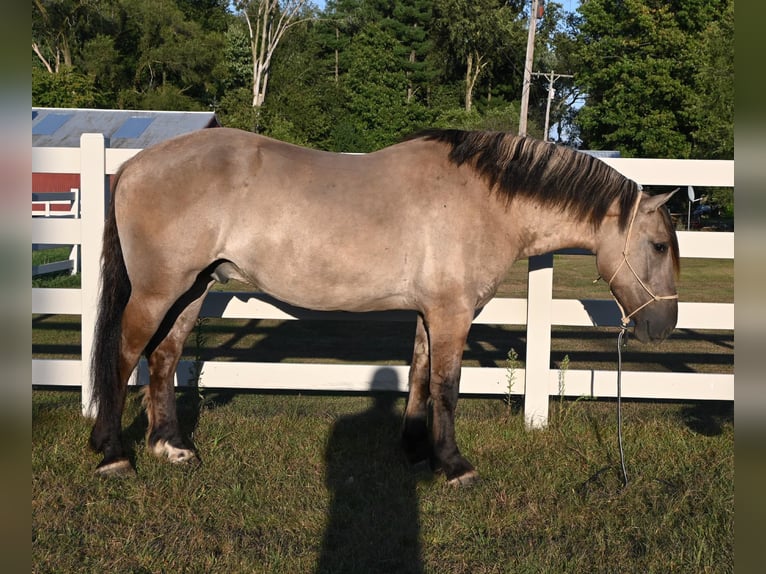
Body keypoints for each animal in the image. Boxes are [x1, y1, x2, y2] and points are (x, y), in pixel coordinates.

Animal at [87, 129, 680, 486]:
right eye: (657, 246)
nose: (664, 326)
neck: (485, 202)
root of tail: (135, 164)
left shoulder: (429, 312)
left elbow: (418, 379)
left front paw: (417, 452)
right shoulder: (452, 314)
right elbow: (446, 387)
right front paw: (453, 465)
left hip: (193, 290)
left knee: (163, 359)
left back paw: (170, 446)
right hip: (158, 291)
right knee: (122, 357)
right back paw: (114, 453)